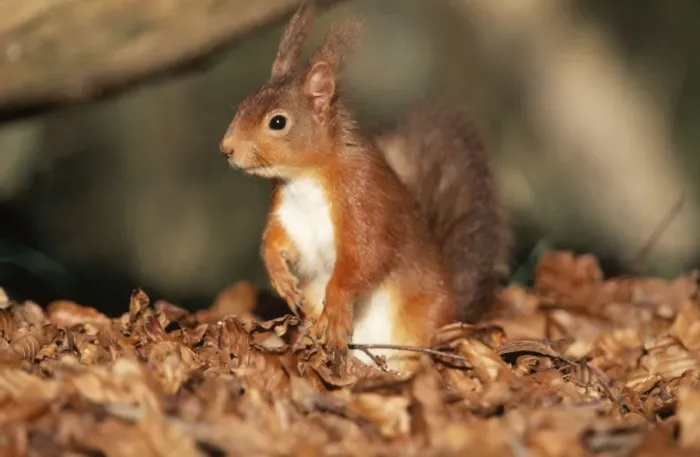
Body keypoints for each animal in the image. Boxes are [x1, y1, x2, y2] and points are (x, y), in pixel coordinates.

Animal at [219, 0, 508, 373]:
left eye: (278, 122)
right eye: (243, 104)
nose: (226, 148)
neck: (306, 179)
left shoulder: (364, 202)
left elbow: (364, 260)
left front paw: (337, 309)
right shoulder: (288, 216)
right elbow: (275, 242)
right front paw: (281, 278)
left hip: (418, 323)